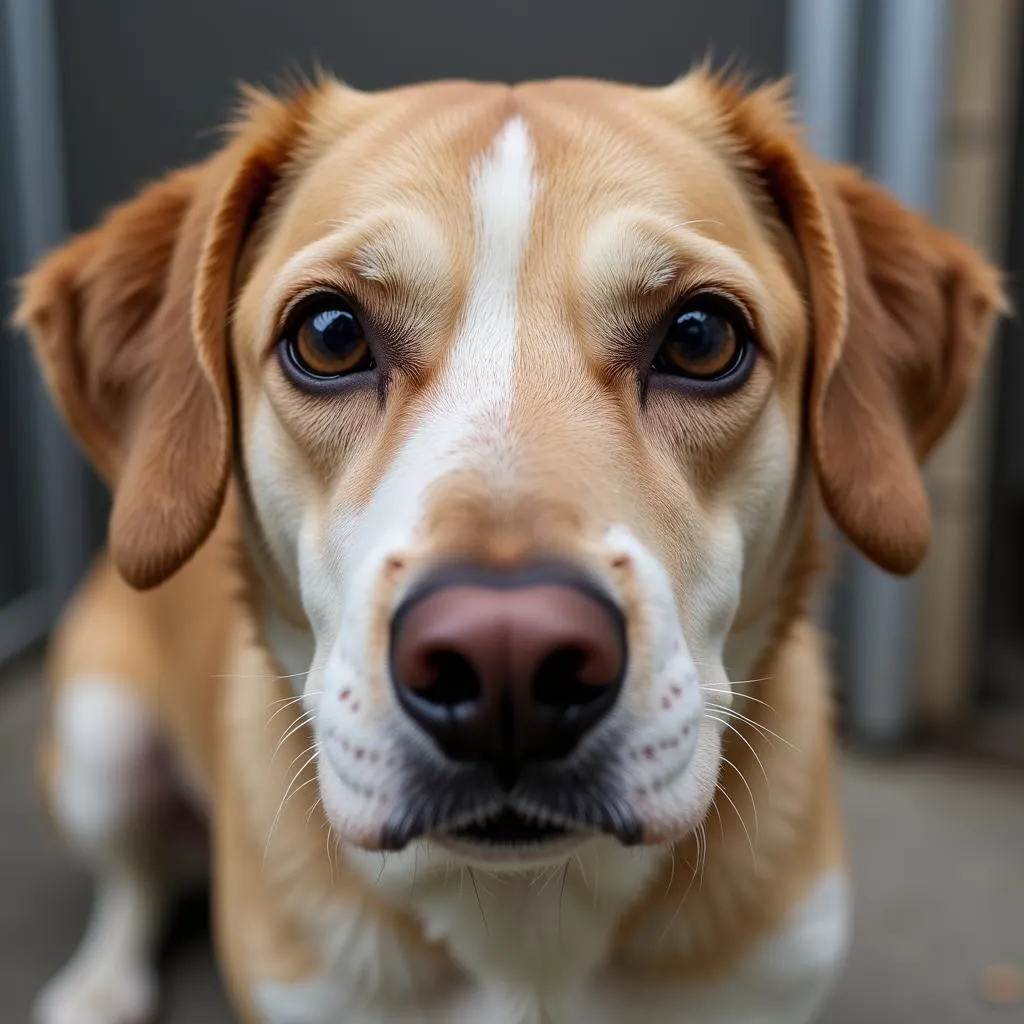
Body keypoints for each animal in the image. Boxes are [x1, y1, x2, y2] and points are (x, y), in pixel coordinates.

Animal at [16, 72, 1003, 1024]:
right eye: (329, 336)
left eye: (701, 335)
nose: (506, 659)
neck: (529, 920)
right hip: (98, 742)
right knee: (134, 878)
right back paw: (98, 985)